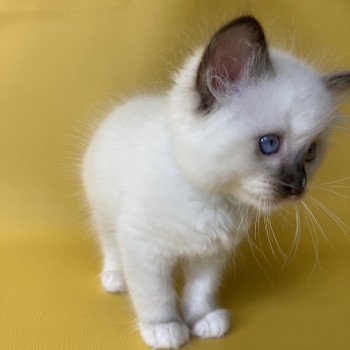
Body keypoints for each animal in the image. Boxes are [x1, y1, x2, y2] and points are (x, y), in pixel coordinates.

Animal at [82, 16, 350, 350]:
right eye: (269, 143)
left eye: (311, 153)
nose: (297, 186)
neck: (213, 199)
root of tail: (124, 106)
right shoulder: (142, 247)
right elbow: (156, 295)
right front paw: (166, 329)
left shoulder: (211, 254)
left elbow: (201, 291)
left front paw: (203, 321)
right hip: (104, 213)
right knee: (109, 245)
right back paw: (116, 279)